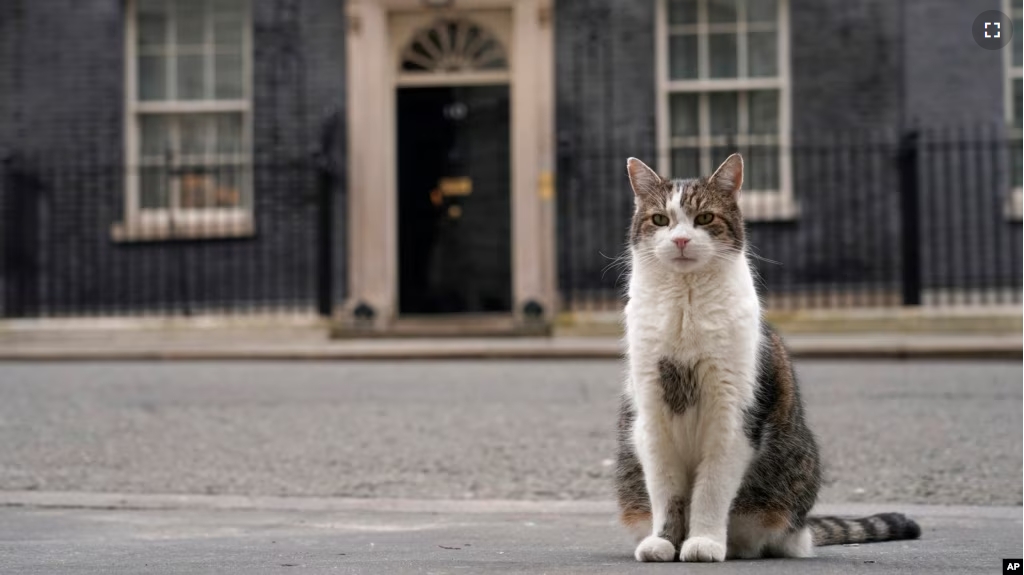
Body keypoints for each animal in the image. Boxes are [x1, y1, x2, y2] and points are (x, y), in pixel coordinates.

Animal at [614, 153, 921, 560]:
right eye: (660, 220)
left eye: (705, 218)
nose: (680, 239)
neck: (686, 304)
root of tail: (803, 528)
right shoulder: (652, 416)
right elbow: (666, 492)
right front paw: (664, 542)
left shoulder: (732, 416)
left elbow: (711, 490)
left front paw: (704, 541)